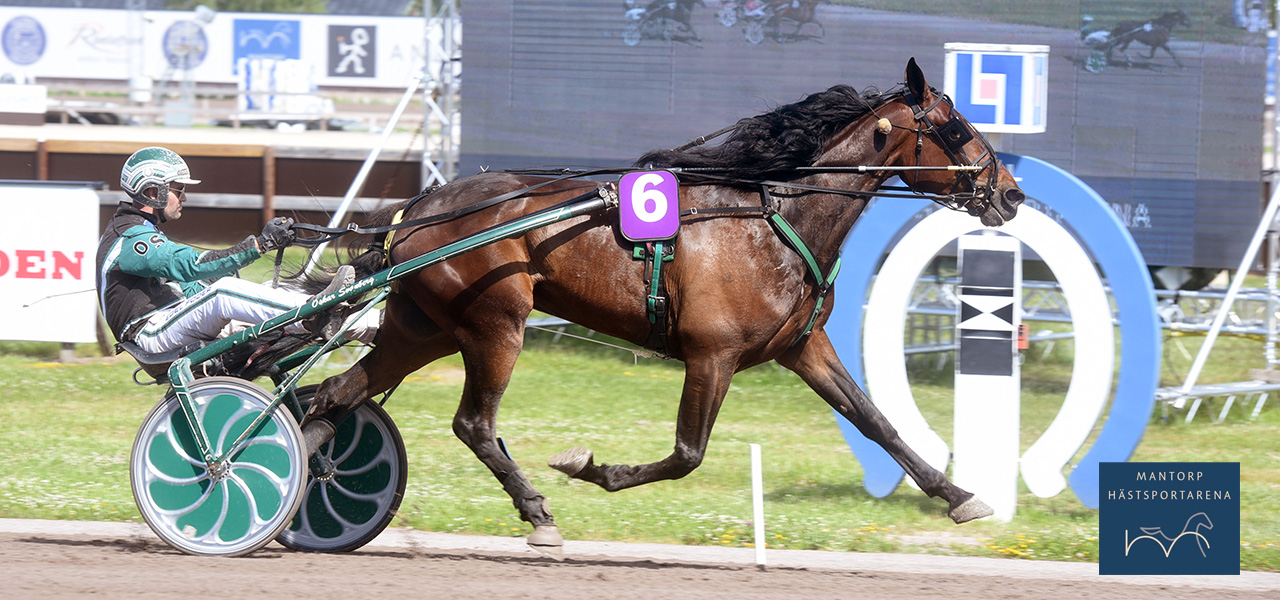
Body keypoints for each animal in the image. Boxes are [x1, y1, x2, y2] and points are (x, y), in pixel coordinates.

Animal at [294, 59, 1024, 557]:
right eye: (955, 127)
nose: (1011, 194)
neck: (775, 220)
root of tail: (417, 206)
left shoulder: (803, 347)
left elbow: (879, 424)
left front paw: (961, 497)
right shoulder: (712, 354)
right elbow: (687, 453)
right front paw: (590, 467)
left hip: (425, 328)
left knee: (334, 396)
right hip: (495, 324)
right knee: (473, 424)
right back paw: (538, 514)